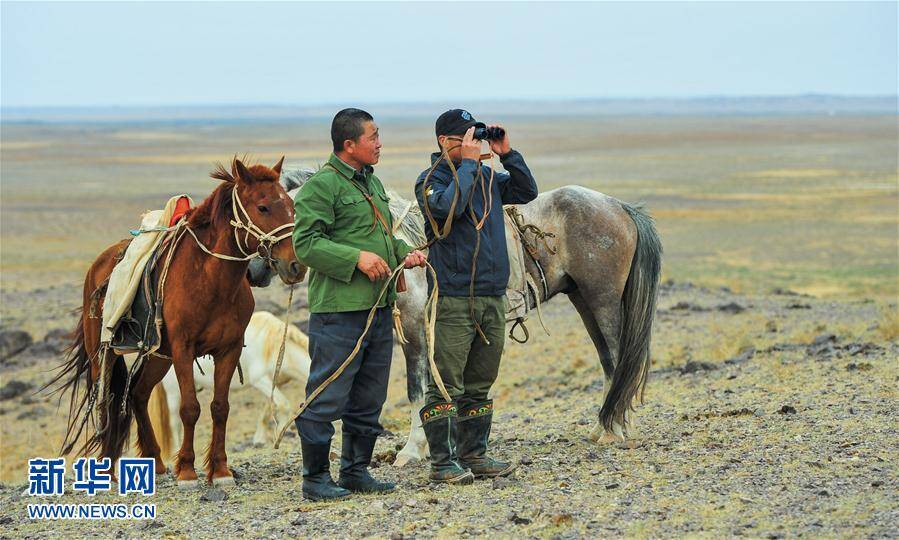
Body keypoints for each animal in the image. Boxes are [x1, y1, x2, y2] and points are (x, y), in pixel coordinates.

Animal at [149, 310, 312, 458]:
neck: (276, 346)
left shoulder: (274, 384)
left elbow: (268, 411)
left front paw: (259, 440)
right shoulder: (260, 380)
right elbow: (284, 405)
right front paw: (278, 437)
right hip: (173, 392)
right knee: (174, 423)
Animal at [274, 168, 660, 464]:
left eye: (281, 208)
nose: (281, 268)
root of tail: (619, 206)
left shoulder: (414, 326)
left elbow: (416, 389)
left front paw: (411, 452)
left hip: (602, 299)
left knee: (619, 359)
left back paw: (614, 429)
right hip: (583, 299)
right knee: (609, 362)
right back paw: (602, 427)